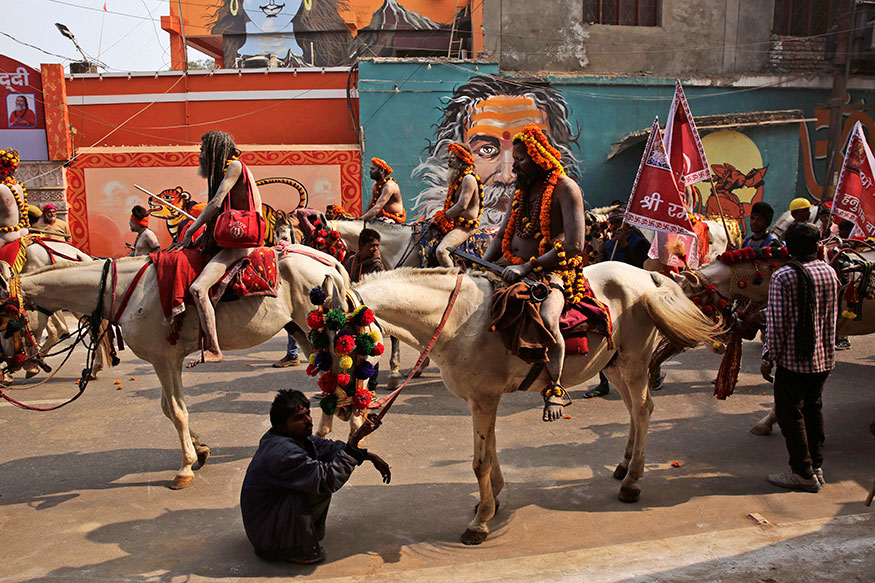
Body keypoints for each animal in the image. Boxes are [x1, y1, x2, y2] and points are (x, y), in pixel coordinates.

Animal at [1, 244, 356, 490]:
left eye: (7, 321)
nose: (13, 365)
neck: (125, 291)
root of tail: (329, 261)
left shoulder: (164, 359)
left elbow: (176, 410)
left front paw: (185, 467)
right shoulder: (165, 360)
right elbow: (168, 409)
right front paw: (201, 450)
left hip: (316, 327)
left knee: (342, 373)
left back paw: (352, 426)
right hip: (301, 330)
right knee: (329, 377)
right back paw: (326, 430)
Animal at [350, 262, 724, 544]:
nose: (351, 402)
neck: (458, 319)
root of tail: (648, 275)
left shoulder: (484, 398)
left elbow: (480, 461)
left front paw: (480, 522)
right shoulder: (482, 400)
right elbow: (491, 450)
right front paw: (493, 498)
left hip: (634, 363)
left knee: (644, 410)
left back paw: (632, 483)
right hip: (613, 365)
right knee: (635, 411)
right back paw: (624, 465)